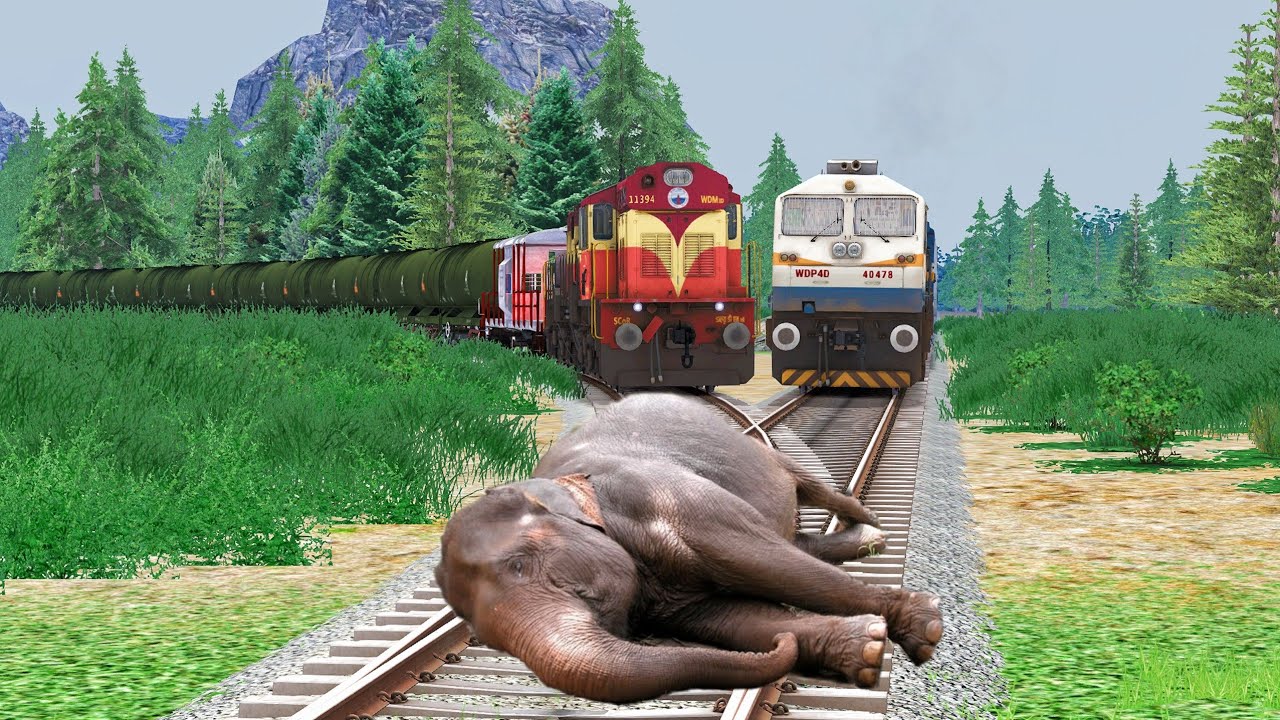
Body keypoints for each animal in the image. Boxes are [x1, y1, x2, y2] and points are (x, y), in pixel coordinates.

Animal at [435, 392, 944, 704]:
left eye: (520, 564)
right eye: (486, 640)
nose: (785, 644)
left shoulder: (665, 496)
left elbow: (764, 561)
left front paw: (924, 630)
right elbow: (733, 619)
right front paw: (866, 650)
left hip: (761, 455)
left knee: (812, 499)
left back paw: (873, 533)